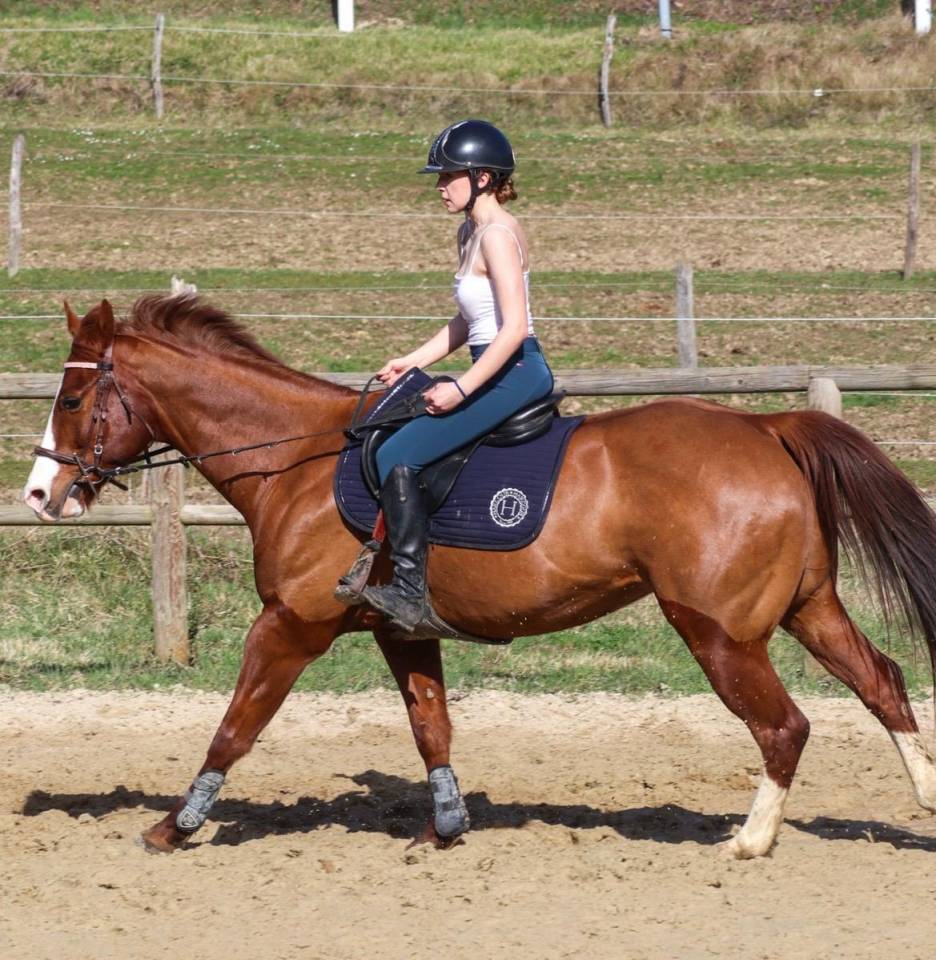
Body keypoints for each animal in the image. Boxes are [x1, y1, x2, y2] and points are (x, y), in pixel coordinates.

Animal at [22, 294, 936, 858]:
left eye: (71, 402)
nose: (38, 495)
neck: (297, 461)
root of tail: (767, 427)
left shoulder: (289, 626)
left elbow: (233, 727)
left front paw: (174, 827)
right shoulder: (398, 628)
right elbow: (432, 727)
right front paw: (446, 828)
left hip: (720, 633)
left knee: (785, 726)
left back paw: (750, 840)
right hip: (806, 607)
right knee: (883, 683)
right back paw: (924, 806)